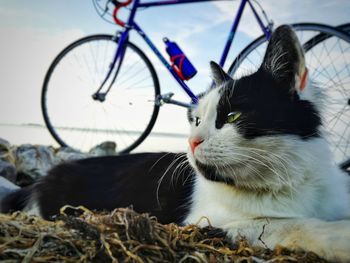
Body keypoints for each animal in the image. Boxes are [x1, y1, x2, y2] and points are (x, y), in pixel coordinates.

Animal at [0, 25, 350, 262]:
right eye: (196, 120)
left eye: (232, 115)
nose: (192, 142)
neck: (287, 181)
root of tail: (45, 177)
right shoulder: (208, 222)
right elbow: (289, 224)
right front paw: (338, 237)